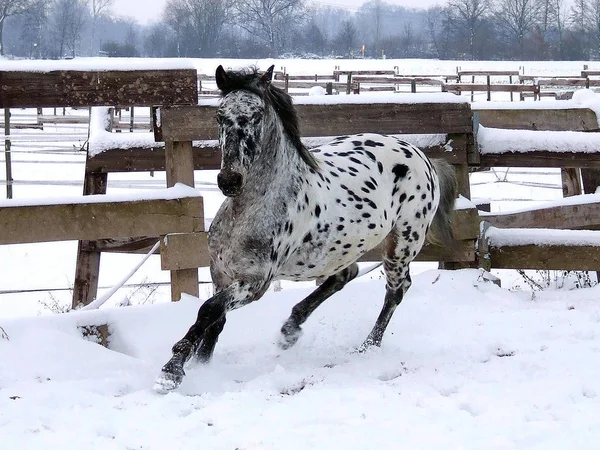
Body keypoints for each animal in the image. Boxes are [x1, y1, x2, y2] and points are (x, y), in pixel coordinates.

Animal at [154, 65, 454, 392]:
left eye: (257, 115)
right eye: (220, 115)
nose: (229, 180)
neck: (247, 213)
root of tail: (421, 155)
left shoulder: (255, 283)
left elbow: (208, 310)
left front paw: (172, 370)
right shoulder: (220, 273)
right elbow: (214, 320)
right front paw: (200, 365)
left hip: (401, 244)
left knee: (396, 291)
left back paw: (366, 347)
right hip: (341, 247)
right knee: (344, 276)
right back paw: (290, 329)